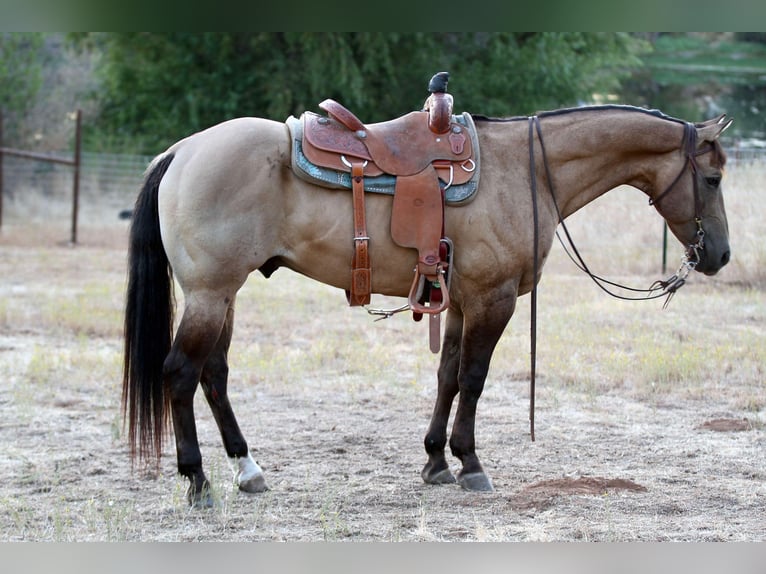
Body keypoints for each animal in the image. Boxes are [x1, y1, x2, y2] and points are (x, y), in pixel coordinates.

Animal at [123, 103, 732, 507]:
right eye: (712, 177)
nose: (719, 255)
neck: (527, 170)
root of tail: (181, 151)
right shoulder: (492, 299)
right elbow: (475, 379)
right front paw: (470, 463)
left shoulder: (460, 301)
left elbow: (448, 376)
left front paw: (436, 460)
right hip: (210, 294)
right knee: (181, 373)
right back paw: (197, 480)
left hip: (223, 295)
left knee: (214, 376)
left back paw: (247, 470)